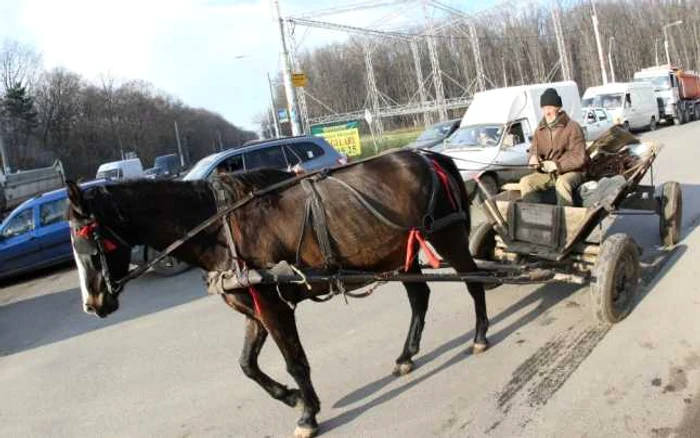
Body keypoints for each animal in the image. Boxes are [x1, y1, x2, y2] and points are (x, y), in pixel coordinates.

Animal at [68, 150, 490, 438]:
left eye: (88, 243)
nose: (93, 305)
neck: (220, 228)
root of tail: (429, 156)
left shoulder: (274, 306)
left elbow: (295, 361)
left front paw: (307, 413)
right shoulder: (255, 307)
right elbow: (247, 365)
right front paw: (291, 397)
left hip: (447, 236)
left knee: (473, 283)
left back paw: (480, 335)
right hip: (397, 254)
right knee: (419, 299)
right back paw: (406, 356)